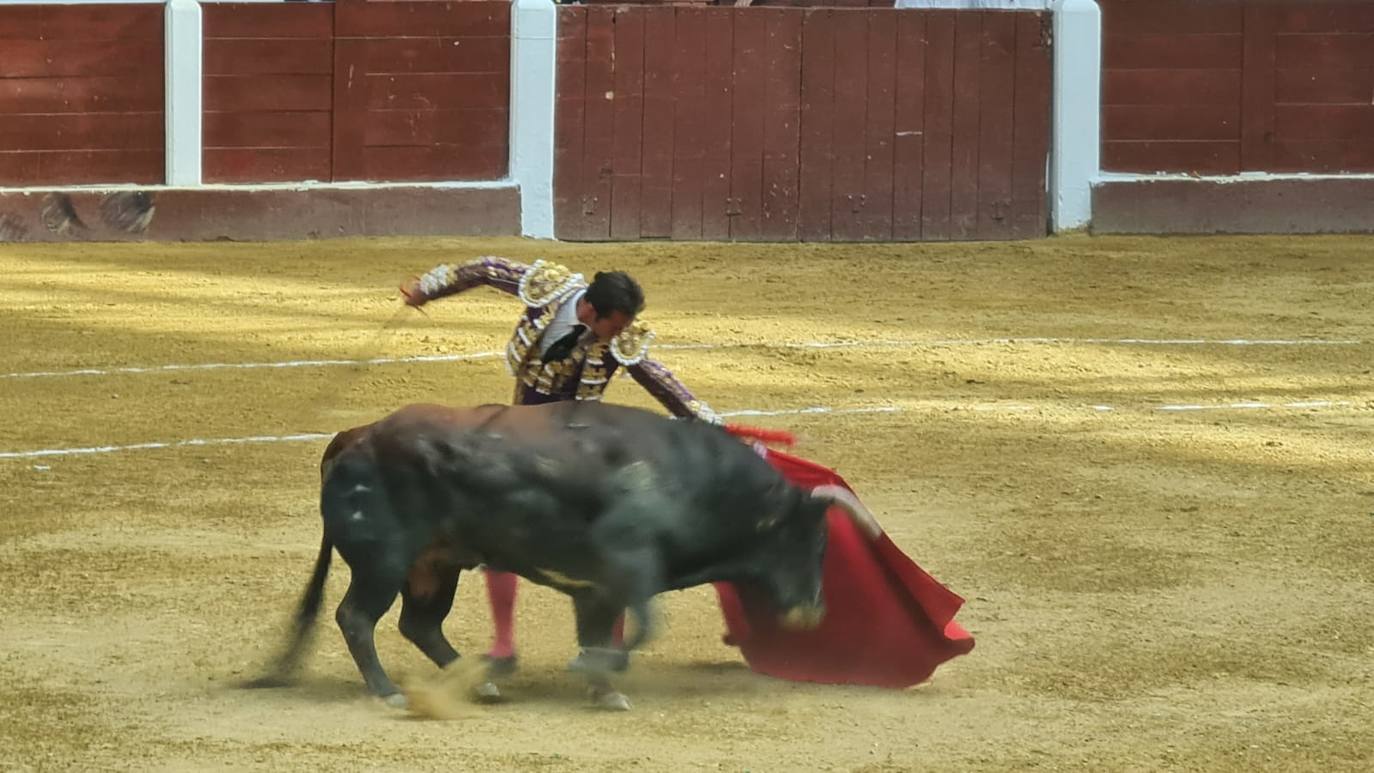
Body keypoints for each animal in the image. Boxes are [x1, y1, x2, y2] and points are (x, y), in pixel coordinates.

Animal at [252, 403, 862, 708]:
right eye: (816, 540)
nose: (814, 611)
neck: (696, 481)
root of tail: (357, 435)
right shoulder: (629, 569)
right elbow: (640, 629)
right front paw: (595, 672)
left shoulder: (599, 589)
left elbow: (604, 631)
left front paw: (603, 686)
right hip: (385, 561)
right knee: (357, 617)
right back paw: (390, 692)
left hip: (435, 564)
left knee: (418, 624)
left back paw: (480, 680)